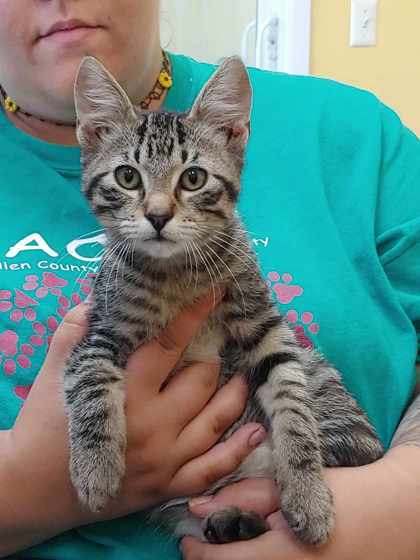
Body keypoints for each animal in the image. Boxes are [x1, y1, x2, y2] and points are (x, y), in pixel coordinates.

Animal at [64, 54, 382, 544]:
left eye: (193, 178)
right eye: (127, 176)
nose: (158, 216)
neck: (177, 274)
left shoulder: (266, 328)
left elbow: (292, 401)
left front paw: (307, 489)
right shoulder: (100, 329)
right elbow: (90, 381)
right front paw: (95, 469)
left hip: (332, 399)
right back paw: (231, 521)